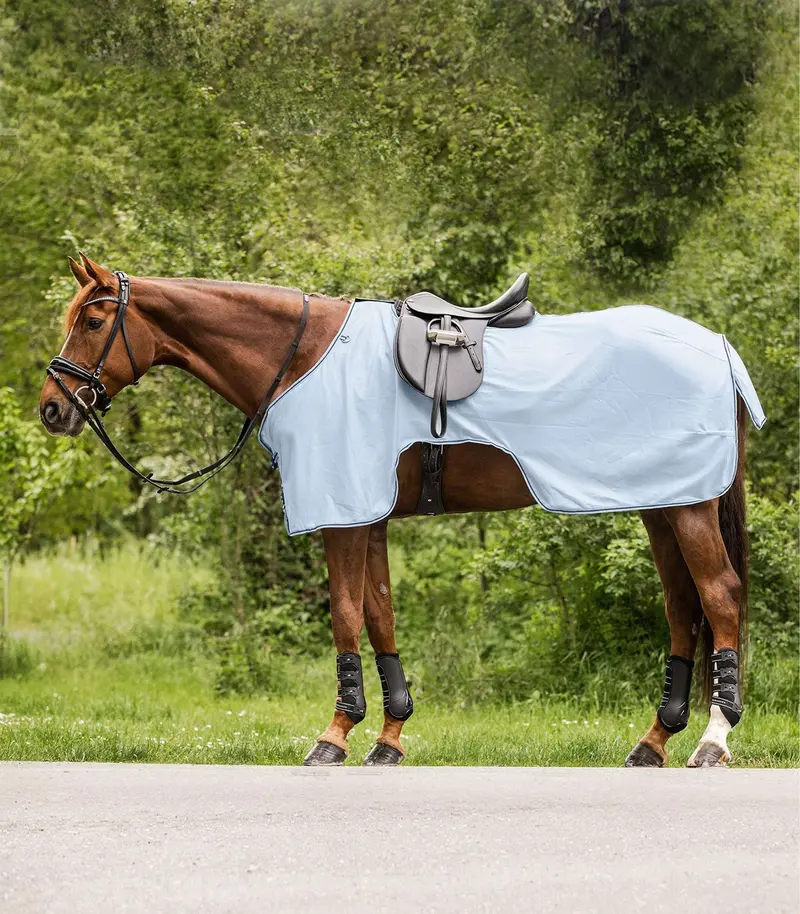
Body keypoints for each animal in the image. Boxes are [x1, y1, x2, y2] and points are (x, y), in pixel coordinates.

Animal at [40, 253, 753, 769]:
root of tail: (718, 346)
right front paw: (389, 737)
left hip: (689, 509)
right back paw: (653, 742)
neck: (304, 357)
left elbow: (344, 615)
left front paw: (334, 735)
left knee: (719, 596)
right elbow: (379, 615)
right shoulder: (369, 516)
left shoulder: (342, 516)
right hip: (662, 507)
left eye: (94, 323)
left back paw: (712, 741)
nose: (52, 408)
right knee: (682, 606)